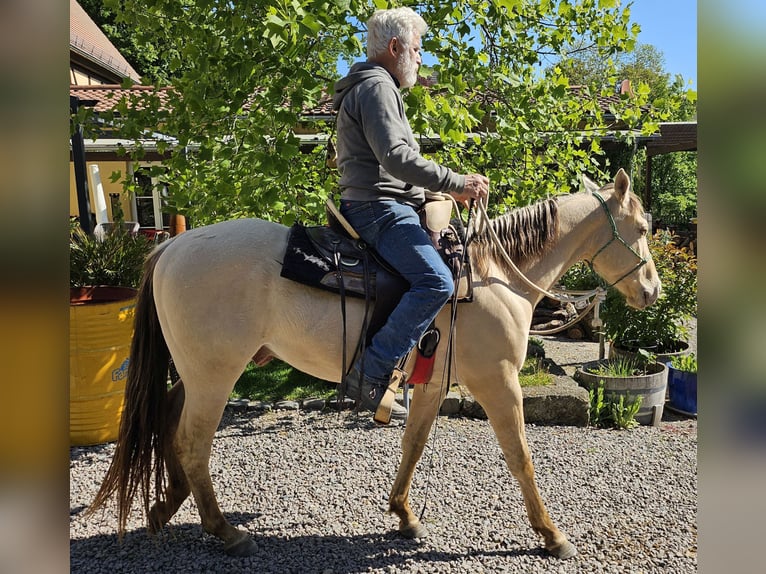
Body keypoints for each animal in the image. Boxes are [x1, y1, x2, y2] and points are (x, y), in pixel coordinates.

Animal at [87, 168, 660, 560]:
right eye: (640, 226)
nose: (653, 291)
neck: (493, 275)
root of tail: (172, 246)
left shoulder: (434, 383)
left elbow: (414, 444)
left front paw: (404, 515)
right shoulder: (498, 382)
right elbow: (520, 457)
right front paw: (551, 534)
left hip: (195, 372)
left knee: (168, 425)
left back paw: (166, 507)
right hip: (215, 374)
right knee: (192, 441)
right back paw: (224, 530)